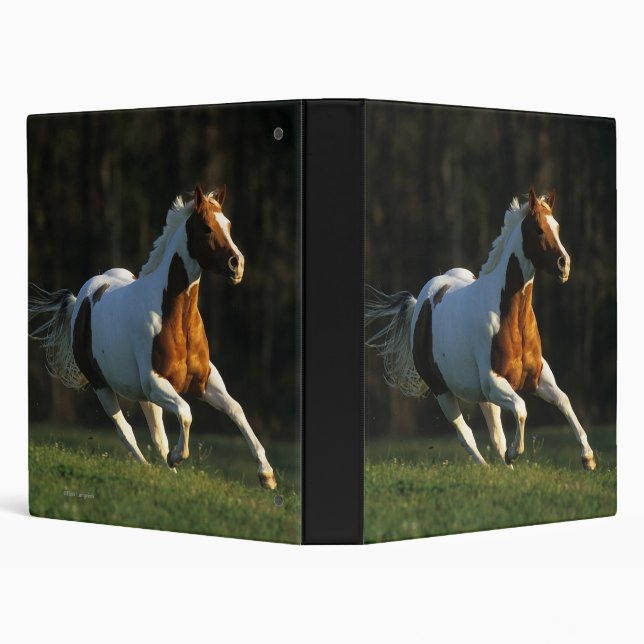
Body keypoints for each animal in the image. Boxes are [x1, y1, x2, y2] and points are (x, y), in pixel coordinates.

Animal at [28, 184, 277, 489]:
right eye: (206, 227)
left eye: (228, 225)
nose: (237, 264)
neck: (175, 319)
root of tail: (81, 300)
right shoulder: (156, 383)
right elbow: (185, 413)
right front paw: (178, 457)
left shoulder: (205, 380)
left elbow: (236, 409)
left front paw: (267, 475)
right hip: (104, 387)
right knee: (126, 432)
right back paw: (150, 468)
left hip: (143, 396)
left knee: (157, 437)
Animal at [366, 188, 596, 471]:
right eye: (539, 229)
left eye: (558, 227)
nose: (564, 265)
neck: (510, 317)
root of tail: (421, 302)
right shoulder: (494, 383)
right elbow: (521, 409)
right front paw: (515, 453)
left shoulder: (538, 376)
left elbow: (563, 400)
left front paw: (588, 458)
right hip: (443, 391)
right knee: (466, 434)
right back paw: (488, 468)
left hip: (484, 399)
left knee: (495, 435)